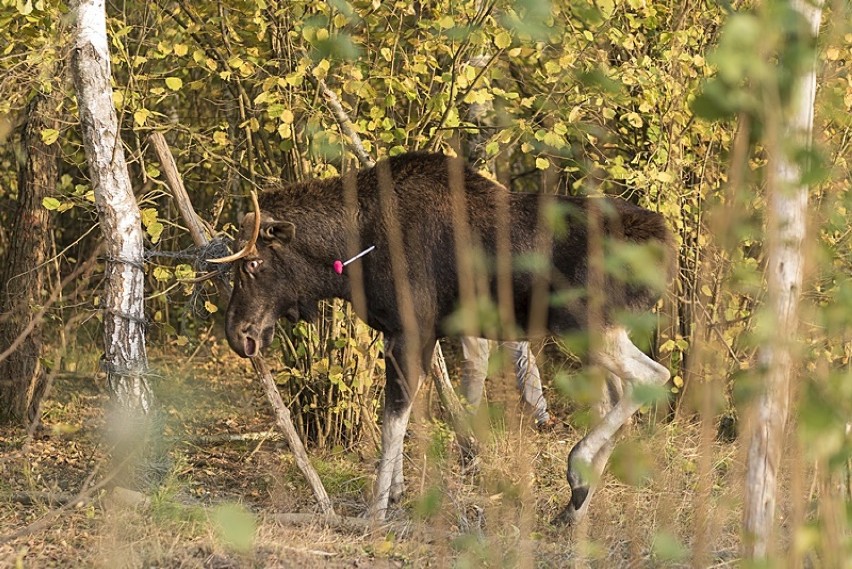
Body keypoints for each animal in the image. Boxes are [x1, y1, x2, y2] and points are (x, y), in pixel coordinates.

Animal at [216, 152, 676, 524]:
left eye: (253, 263)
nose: (238, 334)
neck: (352, 255)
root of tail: (665, 245)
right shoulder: (410, 335)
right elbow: (405, 412)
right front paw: (396, 493)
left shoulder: (410, 329)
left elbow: (394, 417)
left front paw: (376, 508)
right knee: (618, 396)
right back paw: (576, 505)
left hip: (582, 324)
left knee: (653, 376)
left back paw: (577, 472)